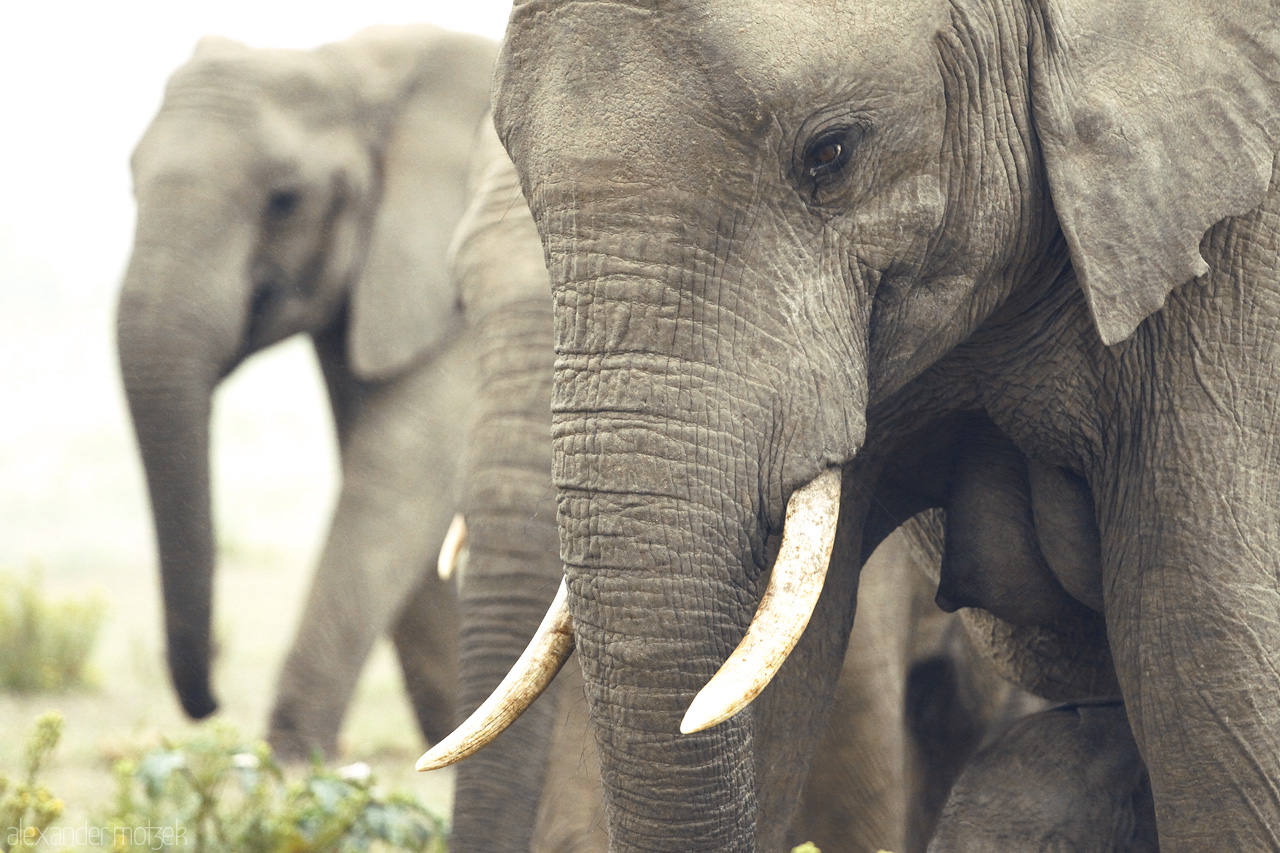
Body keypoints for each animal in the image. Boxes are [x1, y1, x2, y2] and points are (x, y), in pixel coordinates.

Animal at [116, 24, 494, 758]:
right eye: (131, 179)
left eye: (285, 200)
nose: (209, 701)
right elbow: (388, 482)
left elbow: (399, 472)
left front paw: (290, 766)